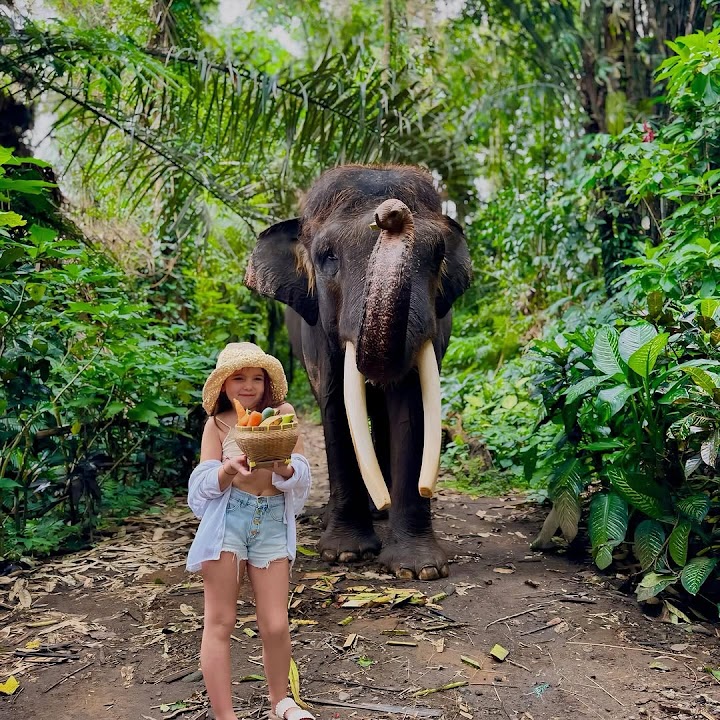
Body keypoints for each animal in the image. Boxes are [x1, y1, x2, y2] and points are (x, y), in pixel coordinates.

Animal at [245, 164, 472, 580]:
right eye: (327, 257)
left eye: (438, 254)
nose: (391, 213)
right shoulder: (319, 331)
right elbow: (335, 406)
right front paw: (345, 554)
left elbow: (411, 408)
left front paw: (419, 570)